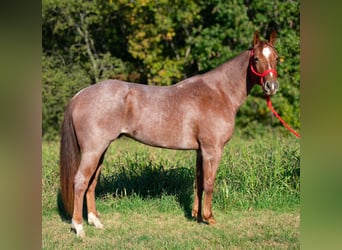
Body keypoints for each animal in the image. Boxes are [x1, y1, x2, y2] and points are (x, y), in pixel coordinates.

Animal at [59, 31, 278, 236]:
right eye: (256, 59)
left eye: (276, 57)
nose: (272, 86)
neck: (218, 93)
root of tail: (80, 95)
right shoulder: (212, 149)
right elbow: (209, 183)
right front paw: (209, 218)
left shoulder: (201, 151)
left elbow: (199, 182)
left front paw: (197, 216)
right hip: (93, 151)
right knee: (80, 182)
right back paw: (79, 227)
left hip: (100, 151)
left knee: (91, 183)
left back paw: (95, 222)